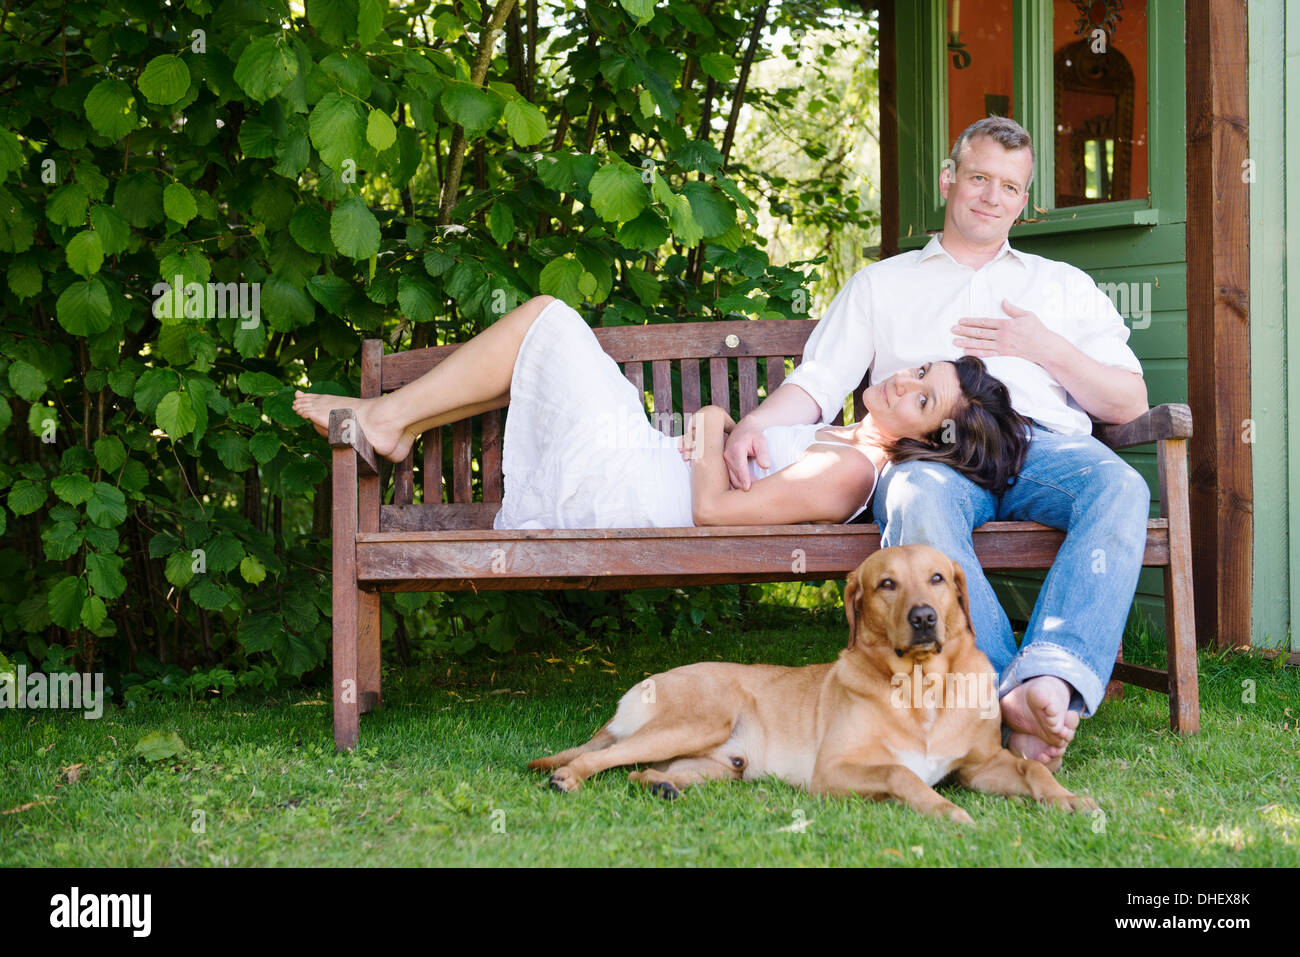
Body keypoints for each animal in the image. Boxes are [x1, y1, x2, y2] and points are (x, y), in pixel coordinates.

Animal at [527, 546, 1097, 821]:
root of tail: (646, 683)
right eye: (886, 584)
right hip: (697, 722)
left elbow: (1031, 770)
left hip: (720, 763)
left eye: (937, 578)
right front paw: (944, 810)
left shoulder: (980, 767)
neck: (922, 689)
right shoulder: (834, 770)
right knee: (603, 756)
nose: (924, 618)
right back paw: (568, 777)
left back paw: (661, 785)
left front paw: (1069, 799)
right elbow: (901, 774)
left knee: (640, 772)